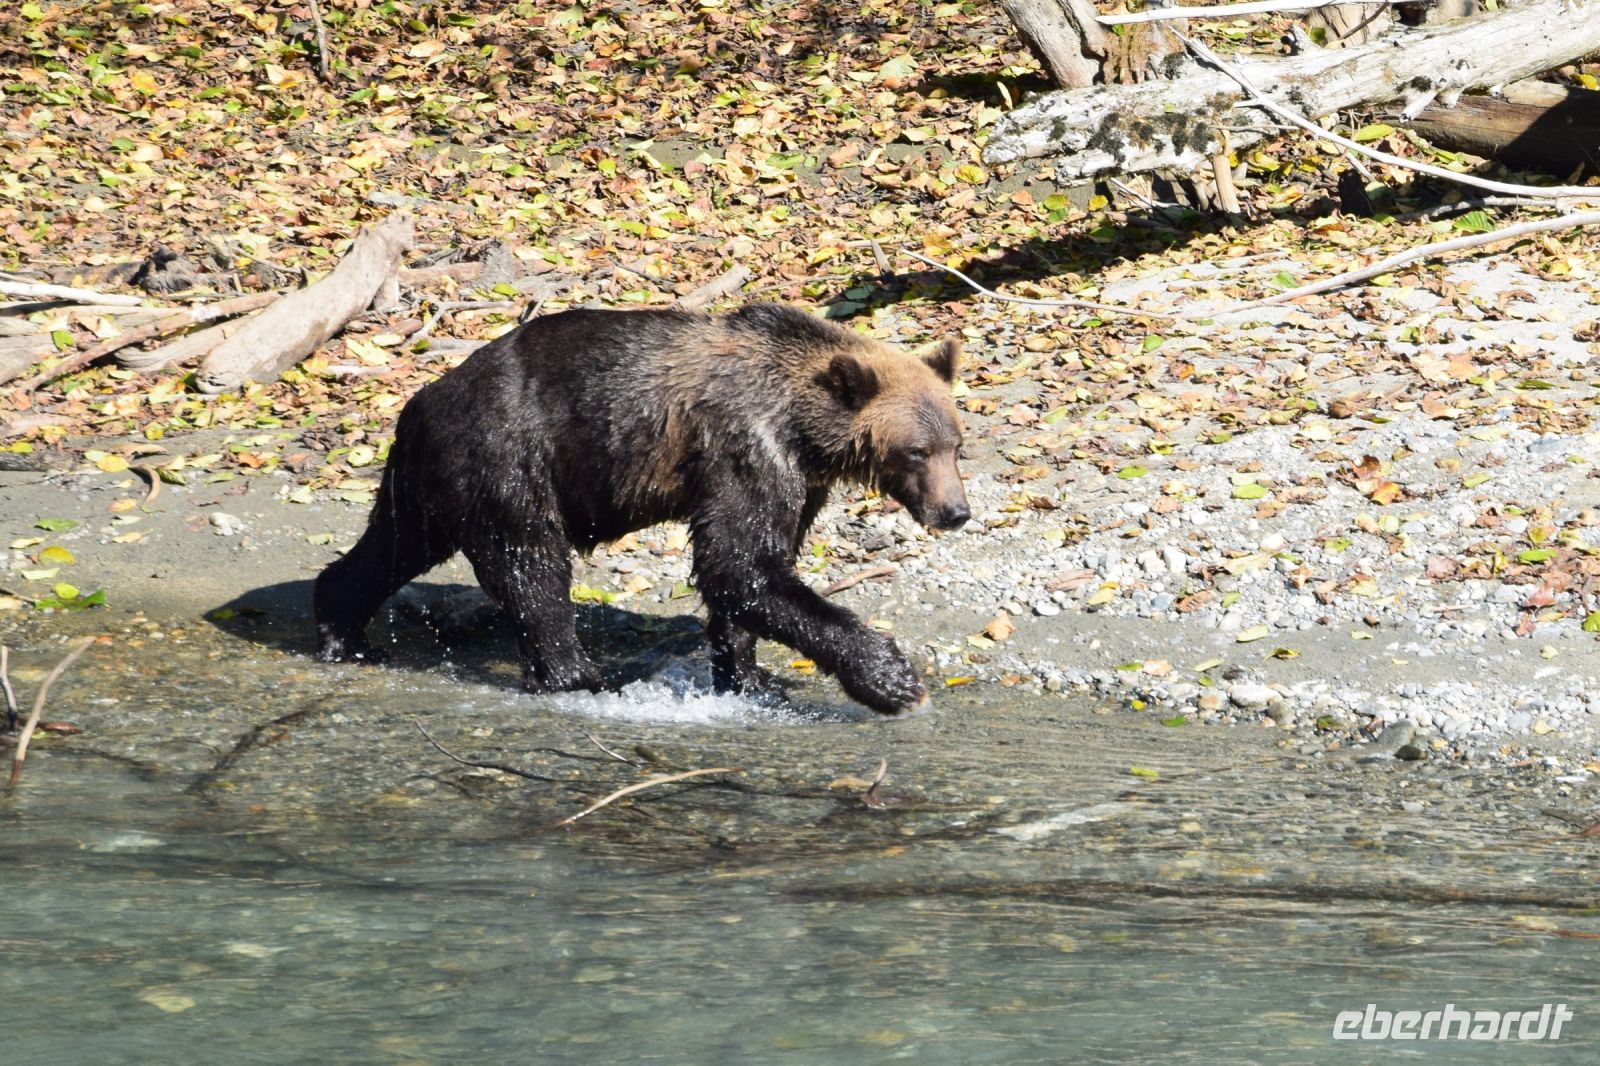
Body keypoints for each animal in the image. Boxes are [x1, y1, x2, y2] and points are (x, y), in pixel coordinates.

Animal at [313, 302, 969, 716]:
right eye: (917, 451)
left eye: (956, 446)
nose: (955, 512)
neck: (802, 426)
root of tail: (417, 403)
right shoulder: (743, 448)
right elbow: (742, 565)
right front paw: (894, 681)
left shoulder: (799, 481)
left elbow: (750, 571)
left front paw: (747, 677)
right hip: (506, 458)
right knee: (532, 566)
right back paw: (577, 677)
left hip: (428, 482)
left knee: (393, 545)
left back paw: (343, 627)